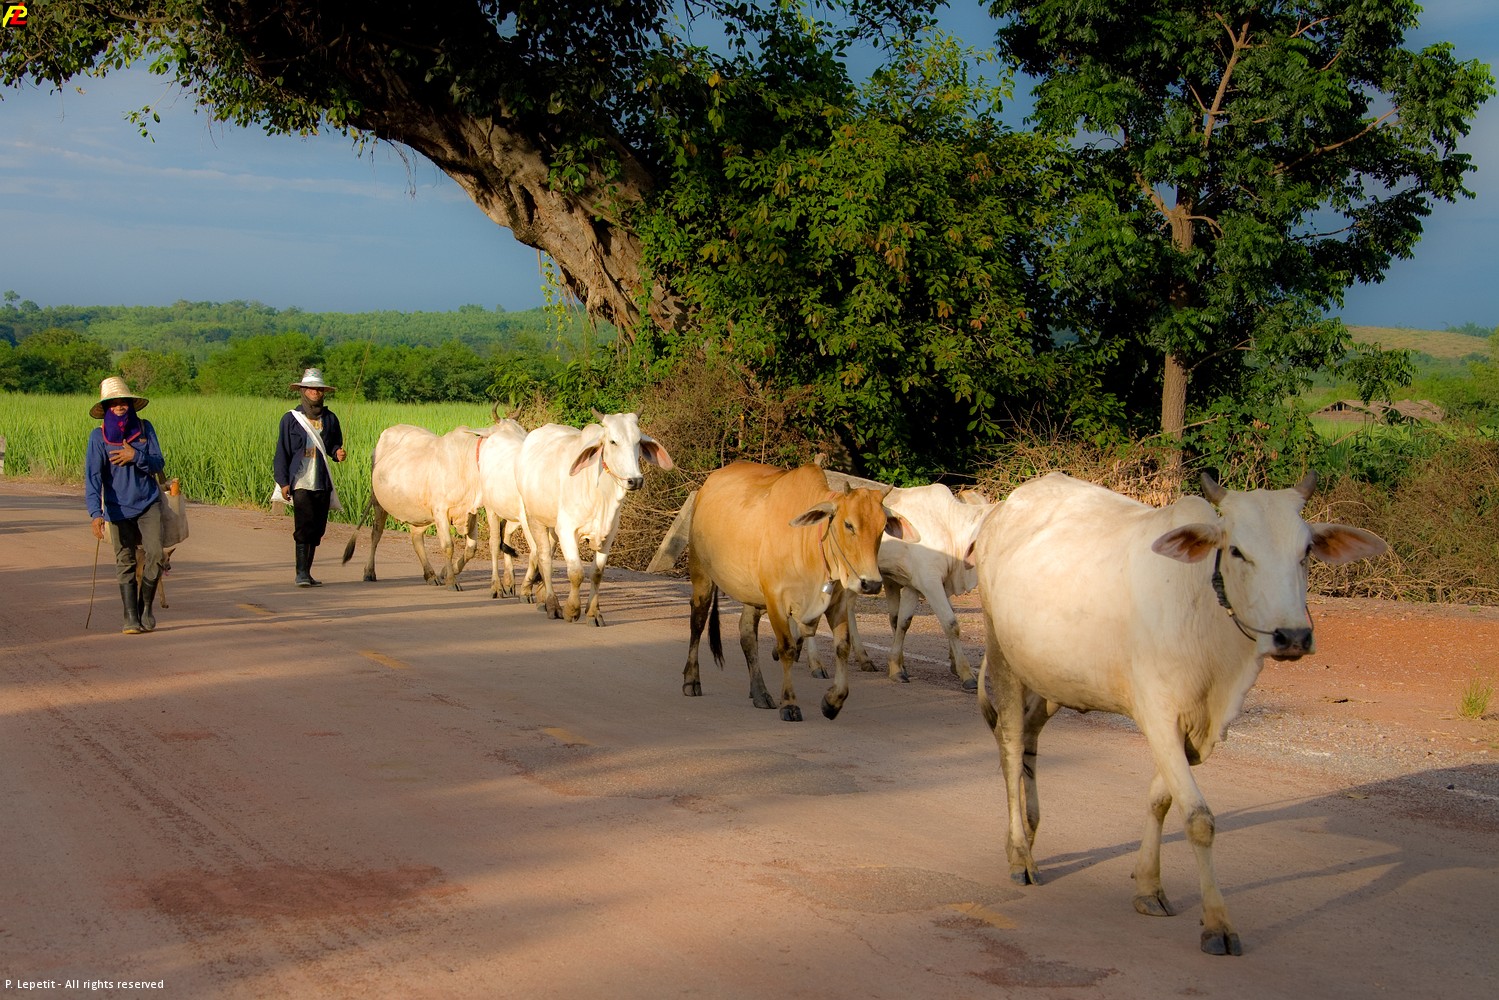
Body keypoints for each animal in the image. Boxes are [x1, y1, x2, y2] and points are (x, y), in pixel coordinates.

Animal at [343, 423, 492, 589]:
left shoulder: (471, 512)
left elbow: (471, 549)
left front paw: (445, 572)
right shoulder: (440, 511)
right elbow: (448, 546)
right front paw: (451, 581)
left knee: (416, 538)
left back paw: (430, 574)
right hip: (378, 502)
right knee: (376, 534)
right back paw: (369, 571)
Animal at [514, 411, 673, 625]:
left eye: (638, 441)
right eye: (613, 441)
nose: (635, 480)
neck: (603, 495)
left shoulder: (609, 533)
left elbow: (597, 573)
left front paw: (593, 613)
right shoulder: (567, 529)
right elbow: (576, 573)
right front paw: (572, 610)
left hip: (552, 527)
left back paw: (543, 599)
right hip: (535, 519)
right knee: (544, 558)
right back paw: (553, 605)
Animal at [681, 462, 917, 723]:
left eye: (883, 527)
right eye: (848, 524)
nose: (871, 584)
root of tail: (707, 484)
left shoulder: (837, 604)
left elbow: (841, 648)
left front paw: (832, 702)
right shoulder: (776, 600)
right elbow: (788, 648)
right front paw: (790, 704)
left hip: (751, 594)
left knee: (746, 635)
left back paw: (760, 693)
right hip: (701, 574)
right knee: (698, 620)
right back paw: (692, 681)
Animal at [803, 482, 996, 689]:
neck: (949, 529)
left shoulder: (914, 585)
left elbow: (903, 622)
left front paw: (898, 667)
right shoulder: (930, 582)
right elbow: (951, 624)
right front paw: (966, 673)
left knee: (848, 609)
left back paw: (863, 658)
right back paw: (816, 663)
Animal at [973, 470, 1386, 955]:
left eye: (1305, 552)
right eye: (1236, 550)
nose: (1293, 636)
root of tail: (1007, 506)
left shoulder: (1201, 726)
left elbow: (1161, 799)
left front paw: (1148, 886)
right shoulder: (1158, 715)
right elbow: (1198, 818)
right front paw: (1218, 923)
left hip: (1052, 676)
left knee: (1031, 740)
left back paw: (1029, 832)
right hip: (1002, 654)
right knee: (1011, 744)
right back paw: (1021, 854)